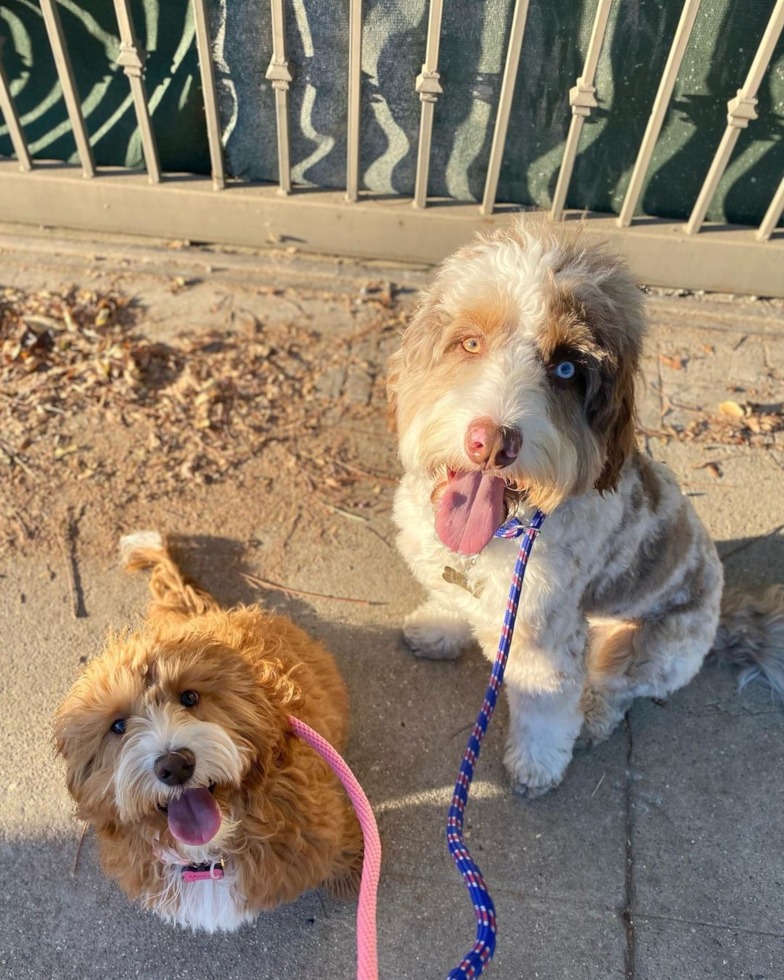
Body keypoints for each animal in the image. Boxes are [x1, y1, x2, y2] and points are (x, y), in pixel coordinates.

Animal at [390, 218, 784, 800]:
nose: (493, 443)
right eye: (470, 342)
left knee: (620, 689)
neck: (506, 528)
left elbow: (546, 708)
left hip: (653, 645)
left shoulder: (545, 639)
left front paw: (535, 767)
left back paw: (594, 715)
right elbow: (454, 598)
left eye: (567, 368)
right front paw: (440, 625)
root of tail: (724, 613)